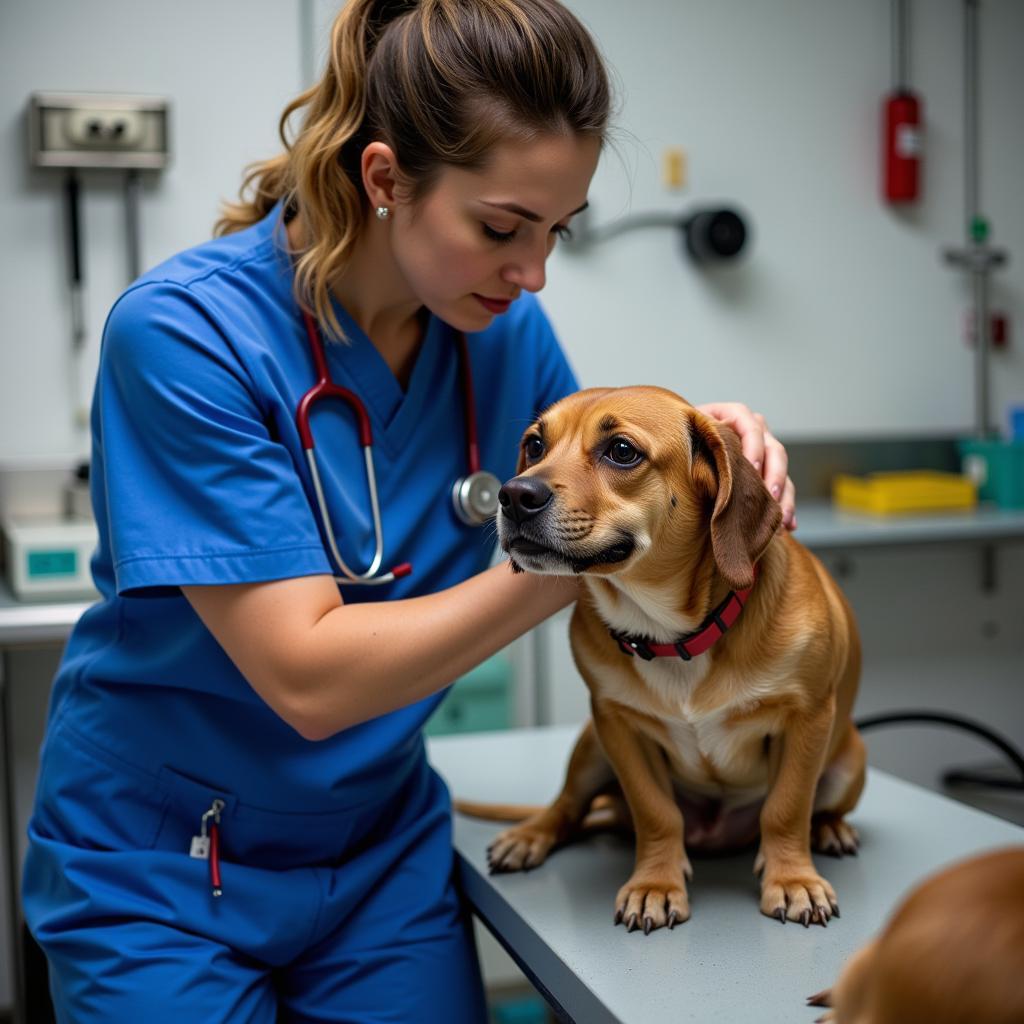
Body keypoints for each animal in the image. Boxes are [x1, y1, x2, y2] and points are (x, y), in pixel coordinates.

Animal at [468, 387, 864, 933]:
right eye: (534, 445)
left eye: (622, 451)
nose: (512, 496)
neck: (671, 635)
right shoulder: (617, 726)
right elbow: (656, 813)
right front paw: (655, 884)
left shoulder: (807, 719)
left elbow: (786, 809)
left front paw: (792, 880)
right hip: (589, 750)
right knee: (568, 807)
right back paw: (530, 836)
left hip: (849, 764)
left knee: (812, 810)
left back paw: (830, 828)